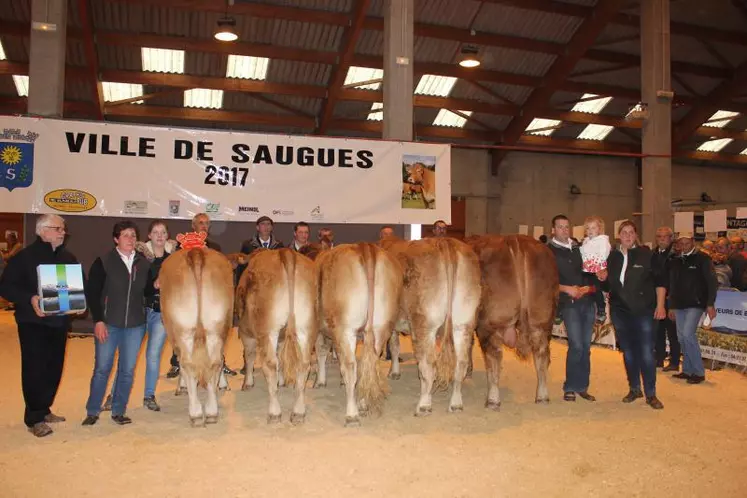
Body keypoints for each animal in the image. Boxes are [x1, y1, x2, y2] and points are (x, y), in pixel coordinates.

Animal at [159, 247, 235, 426]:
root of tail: (195, 251)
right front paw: (223, 384)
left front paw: (182, 386)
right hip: (217, 326)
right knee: (215, 362)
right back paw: (212, 412)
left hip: (183, 330)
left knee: (188, 364)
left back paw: (195, 413)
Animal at [234, 249, 316, 424]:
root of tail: (285, 252)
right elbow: (280, 357)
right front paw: (282, 381)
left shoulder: (245, 332)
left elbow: (249, 356)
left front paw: (247, 383)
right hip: (305, 327)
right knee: (303, 364)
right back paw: (298, 412)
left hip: (268, 330)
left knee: (270, 364)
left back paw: (274, 413)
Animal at [382, 235, 482, 414]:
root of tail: (444, 241)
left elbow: (394, 347)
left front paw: (394, 372)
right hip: (463, 323)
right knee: (461, 363)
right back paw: (456, 403)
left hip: (424, 324)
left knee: (428, 364)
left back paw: (424, 404)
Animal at [470, 235, 560, 406]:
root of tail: (514, 239)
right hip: (542, 321)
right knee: (542, 355)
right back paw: (542, 397)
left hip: (490, 323)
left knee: (494, 357)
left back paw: (493, 400)